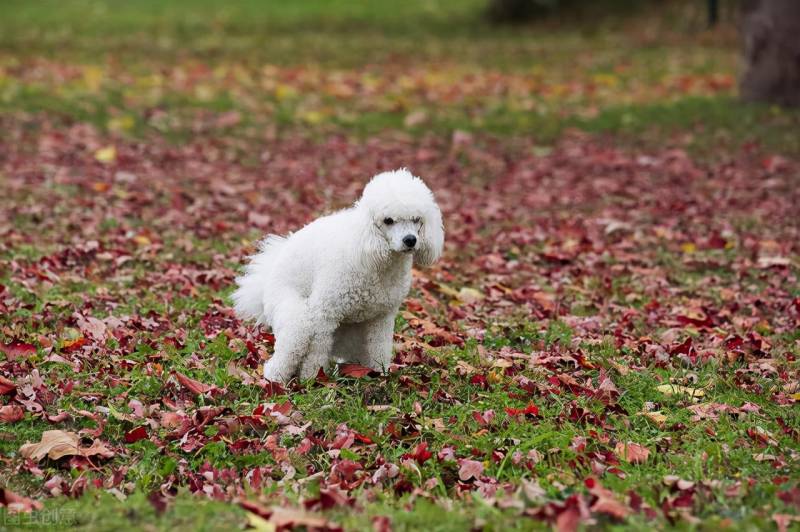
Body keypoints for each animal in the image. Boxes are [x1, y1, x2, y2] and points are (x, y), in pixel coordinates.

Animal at [231, 168, 444, 380]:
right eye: (388, 221)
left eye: (417, 219)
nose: (410, 240)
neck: (378, 261)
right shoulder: (324, 314)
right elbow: (316, 353)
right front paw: (313, 379)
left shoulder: (382, 317)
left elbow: (380, 348)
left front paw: (380, 374)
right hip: (297, 318)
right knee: (290, 347)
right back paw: (274, 378)